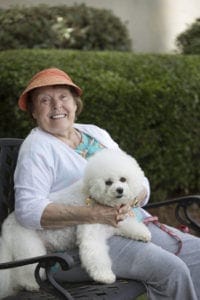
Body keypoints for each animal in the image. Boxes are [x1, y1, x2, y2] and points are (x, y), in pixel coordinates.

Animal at [0, 149, 150, 298]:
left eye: (123, 179)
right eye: (108, 182)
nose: (120, 190)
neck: (93, 197)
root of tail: (6, 225)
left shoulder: (117, 221)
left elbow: (130, 225)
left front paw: (143, 234)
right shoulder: (91, 231)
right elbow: (96, 254)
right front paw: (104, 277)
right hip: (27, 245)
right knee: (26, 269)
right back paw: (29, 284)